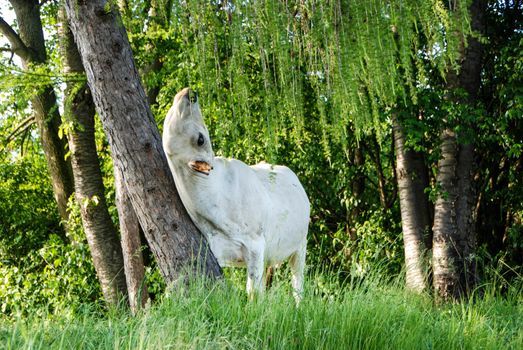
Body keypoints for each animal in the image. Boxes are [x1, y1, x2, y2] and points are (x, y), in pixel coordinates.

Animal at [163, 87, 312, 298]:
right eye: (201, 139)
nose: (190, 93)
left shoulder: (255, 244)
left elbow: (253, 292)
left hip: (301, 244)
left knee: (297, 285)